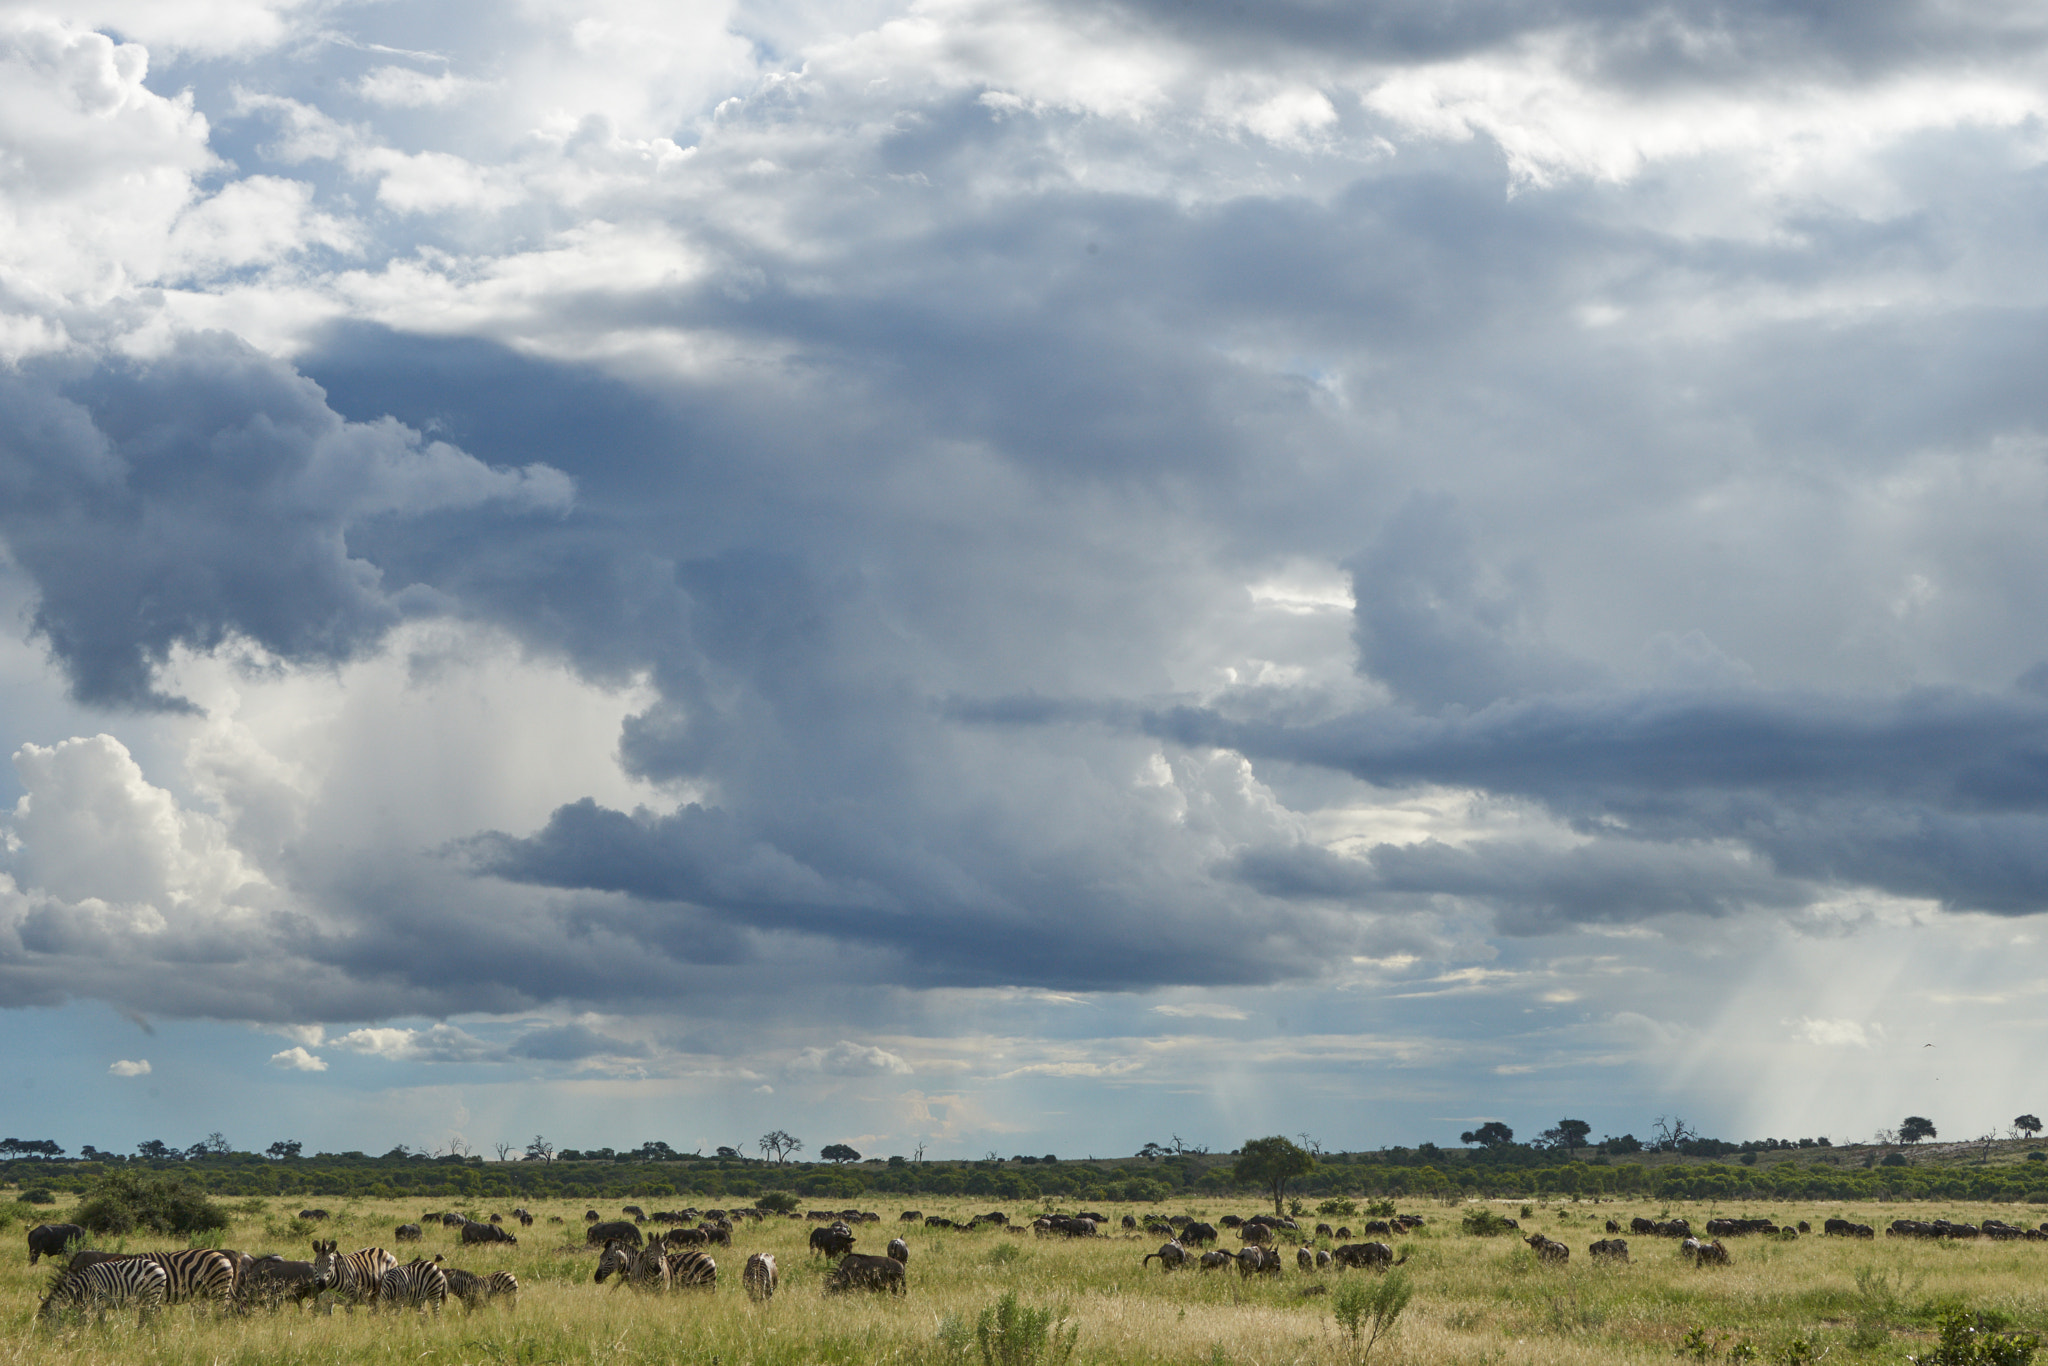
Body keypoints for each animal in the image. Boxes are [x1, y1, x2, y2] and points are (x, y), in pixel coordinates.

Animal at [37, 1253, 167, 1327]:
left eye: (48, 1319)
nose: (45, 1338)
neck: (81, 1284)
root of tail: (158, 1265)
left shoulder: (99, 1300)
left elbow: (101, 1321)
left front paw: (104, 1337)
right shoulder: (83, 1305)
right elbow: (81, 1322)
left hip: (152, 1294)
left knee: (150, 1315)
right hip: (147, 1298)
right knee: (150, 1314)